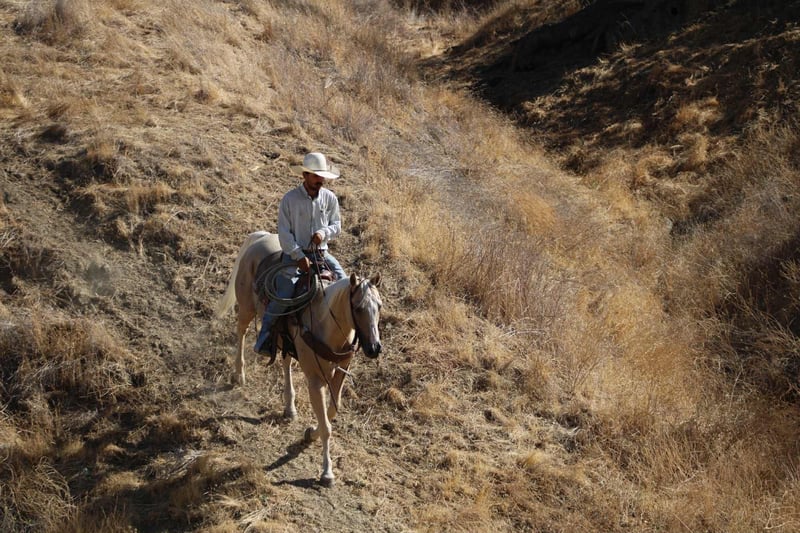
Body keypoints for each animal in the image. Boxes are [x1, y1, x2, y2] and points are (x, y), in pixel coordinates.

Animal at [215, 231, 383, 486]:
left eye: (379, 307)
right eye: (358, 307)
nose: (374, 348)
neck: (326, 321)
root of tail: (261, 236)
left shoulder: (339, 372)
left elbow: (332, 411)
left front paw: (310, 433)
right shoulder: (315, 380)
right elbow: (326, 425)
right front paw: (327, 472)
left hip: (283, 337)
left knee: (285, 361)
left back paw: (289, 407)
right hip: (246, 308)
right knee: (241, 332)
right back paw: (239, 375)